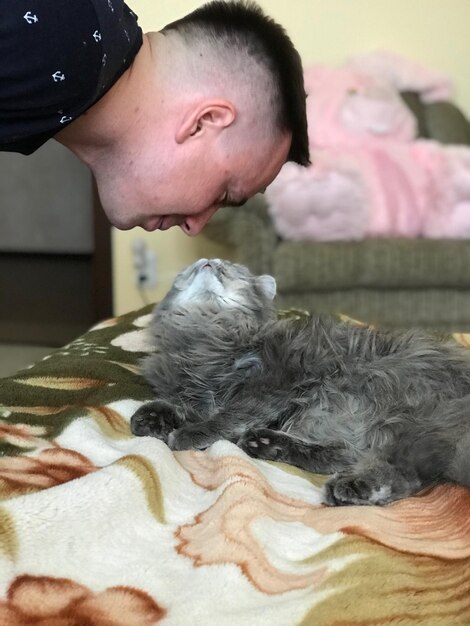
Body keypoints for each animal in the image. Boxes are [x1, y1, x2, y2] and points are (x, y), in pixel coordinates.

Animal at [130, 256, 470, 504]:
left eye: (233, 270)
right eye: (192, 268)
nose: (209, 262)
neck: (205, 332)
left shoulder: (270, 384)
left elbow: (226, 417)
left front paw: (186, 434)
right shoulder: (194, 388)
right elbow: (186, 405)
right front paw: (151, 417)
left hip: (405, 413)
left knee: (402, 475)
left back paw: (350, 488)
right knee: (346, 453)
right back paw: (266, 444)